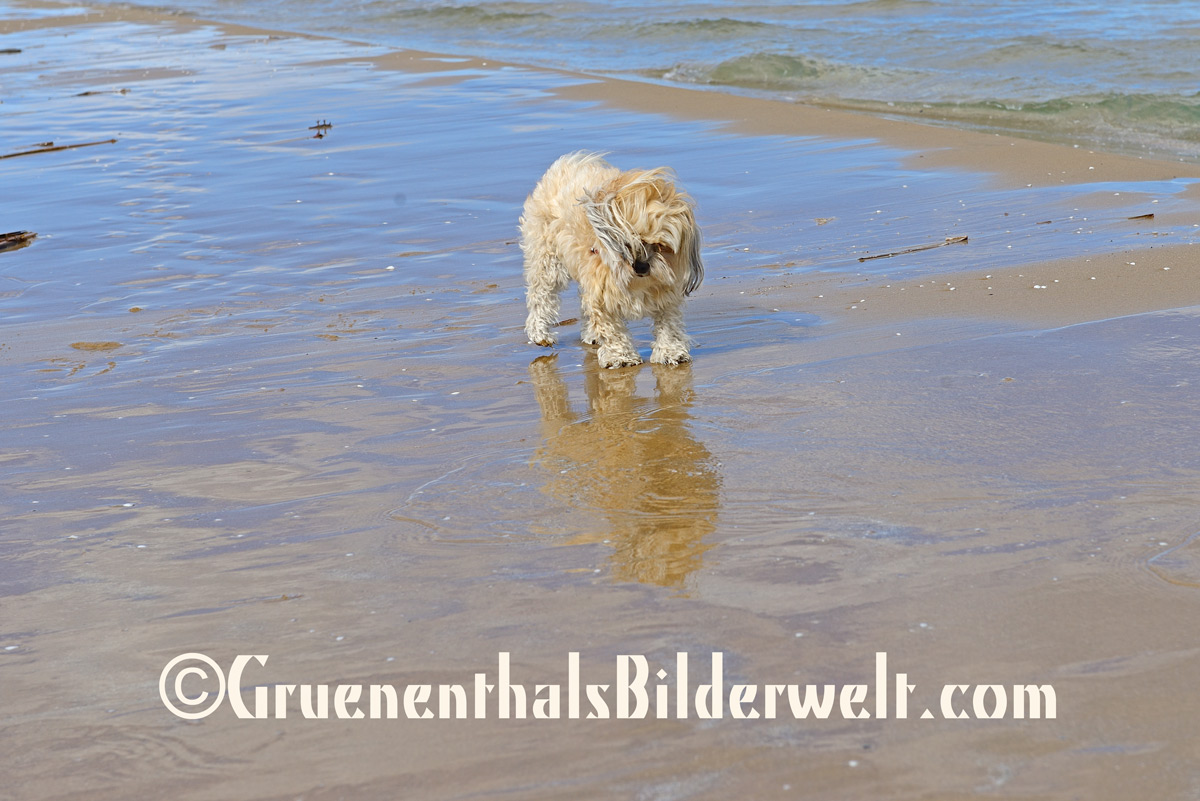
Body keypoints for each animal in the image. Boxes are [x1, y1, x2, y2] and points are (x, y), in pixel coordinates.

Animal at [518, 151, 700, 366]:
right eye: (628, 243)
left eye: (660, 245)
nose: (641, 266)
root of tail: (564, 165)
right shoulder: (600, 295)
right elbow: (612, 329)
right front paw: (620, 357)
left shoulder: (666, 294)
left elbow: (669, 324)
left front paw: (671, 351)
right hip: (547, 262)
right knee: (541, 296)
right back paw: (540, 334)